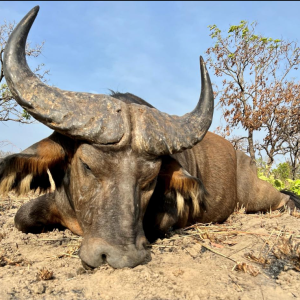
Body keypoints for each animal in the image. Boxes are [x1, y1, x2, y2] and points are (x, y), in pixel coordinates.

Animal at [0, 6, 300, 270]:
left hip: (258, 197)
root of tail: (243, 159)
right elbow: (21, 216)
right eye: (87, 166)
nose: (119, 256)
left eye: (150, 179)